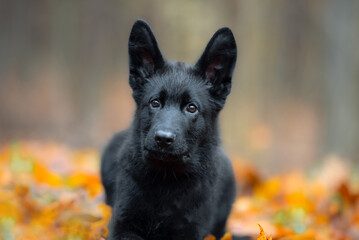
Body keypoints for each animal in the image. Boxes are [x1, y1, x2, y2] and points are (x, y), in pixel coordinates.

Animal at [101, 19, 245, 239]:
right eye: (155, 103)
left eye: (191, 108)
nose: (163, 138)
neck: (166, 178)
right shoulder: (123, 223)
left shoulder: (190, 229)